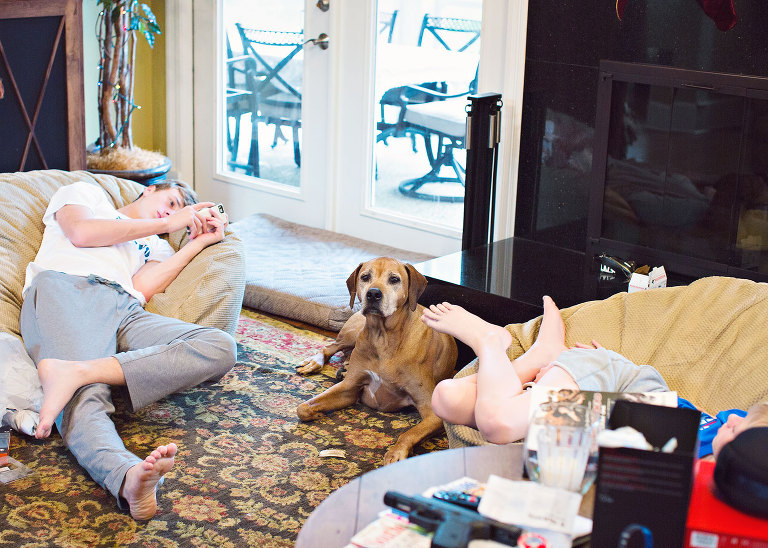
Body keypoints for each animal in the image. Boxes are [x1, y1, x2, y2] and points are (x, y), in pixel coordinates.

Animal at [296, 257, 458, 464]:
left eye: (394, 279)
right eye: (365, 277)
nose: (373, 293)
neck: (383, 338)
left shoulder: (433, 412)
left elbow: (408, 433)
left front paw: (396, 453)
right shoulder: (350, 388)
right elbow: (303, 407)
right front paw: (316, 411)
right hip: (353, 334)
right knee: (330, 347)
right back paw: (316, 363)